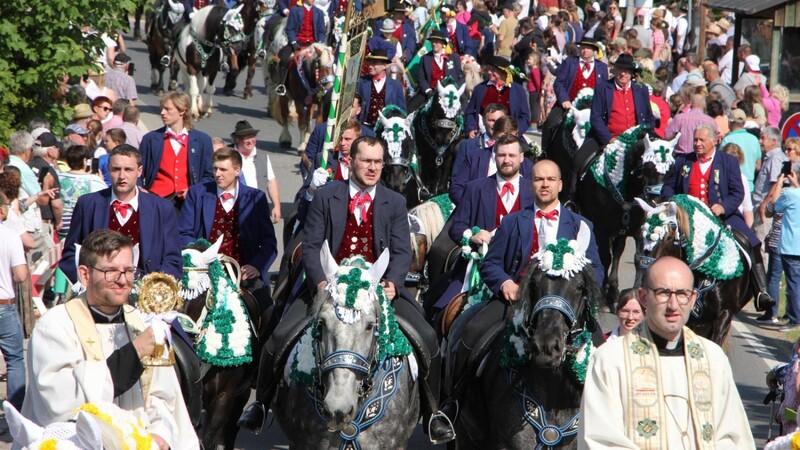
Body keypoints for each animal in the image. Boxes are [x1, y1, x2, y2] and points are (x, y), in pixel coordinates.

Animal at [572, 125, 680, 312]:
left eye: (669, 172)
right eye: (647, 167)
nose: (655, 201)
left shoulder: (638, 228)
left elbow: (638, 258)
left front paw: (634, 295)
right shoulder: (601, 228)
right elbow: (605, 257)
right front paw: (603, 297)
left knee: (617, 251)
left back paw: (613, 291)